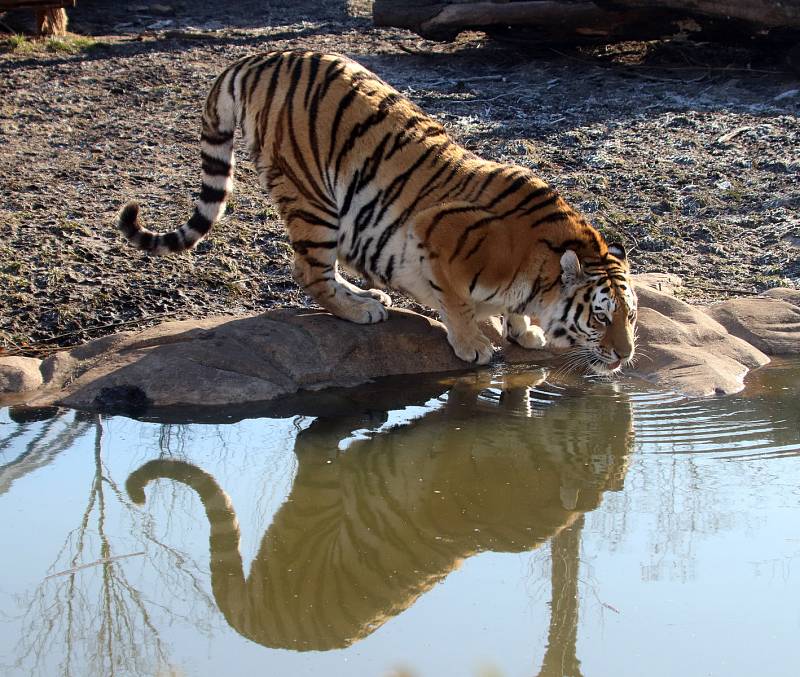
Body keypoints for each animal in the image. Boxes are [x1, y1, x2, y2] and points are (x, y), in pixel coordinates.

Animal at [115, 50, 636, 372]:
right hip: (314, 197)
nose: (625, 355)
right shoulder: (436, 232)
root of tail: (259, 58)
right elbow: (454, 302)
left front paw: (523, 331)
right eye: (600, 317)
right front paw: (473, 344)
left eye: (630, 317)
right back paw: (358, 310)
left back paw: (369, 297)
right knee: (309, 271)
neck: (539, 271)